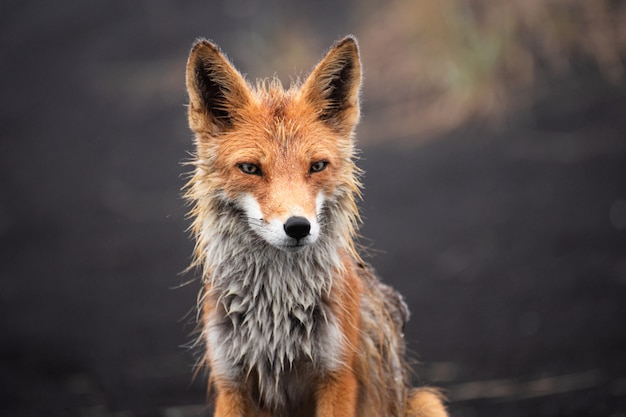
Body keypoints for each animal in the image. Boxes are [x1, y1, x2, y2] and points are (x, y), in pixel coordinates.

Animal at [183, 36, 446, 416]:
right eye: (250, 169)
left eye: (317, 166)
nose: (297, 227)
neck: (276, 313)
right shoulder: (230, 381)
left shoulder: (337, 375)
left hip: (427, 401)